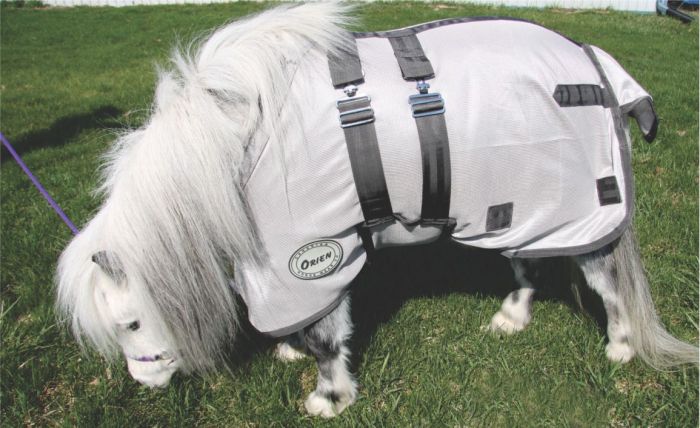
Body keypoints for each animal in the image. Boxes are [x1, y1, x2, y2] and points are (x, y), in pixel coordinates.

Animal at [56, 3, 698, 418]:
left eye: (130, 323)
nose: (144, 382)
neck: (233, 147)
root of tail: (594, 61)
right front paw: (289, 349)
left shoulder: (309, 254)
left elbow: (327, 338)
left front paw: (329, 398)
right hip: (519, 209)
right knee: (527, 264)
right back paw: (511, 319)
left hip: (582, 213)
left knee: (607, 281)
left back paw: (621, 348)